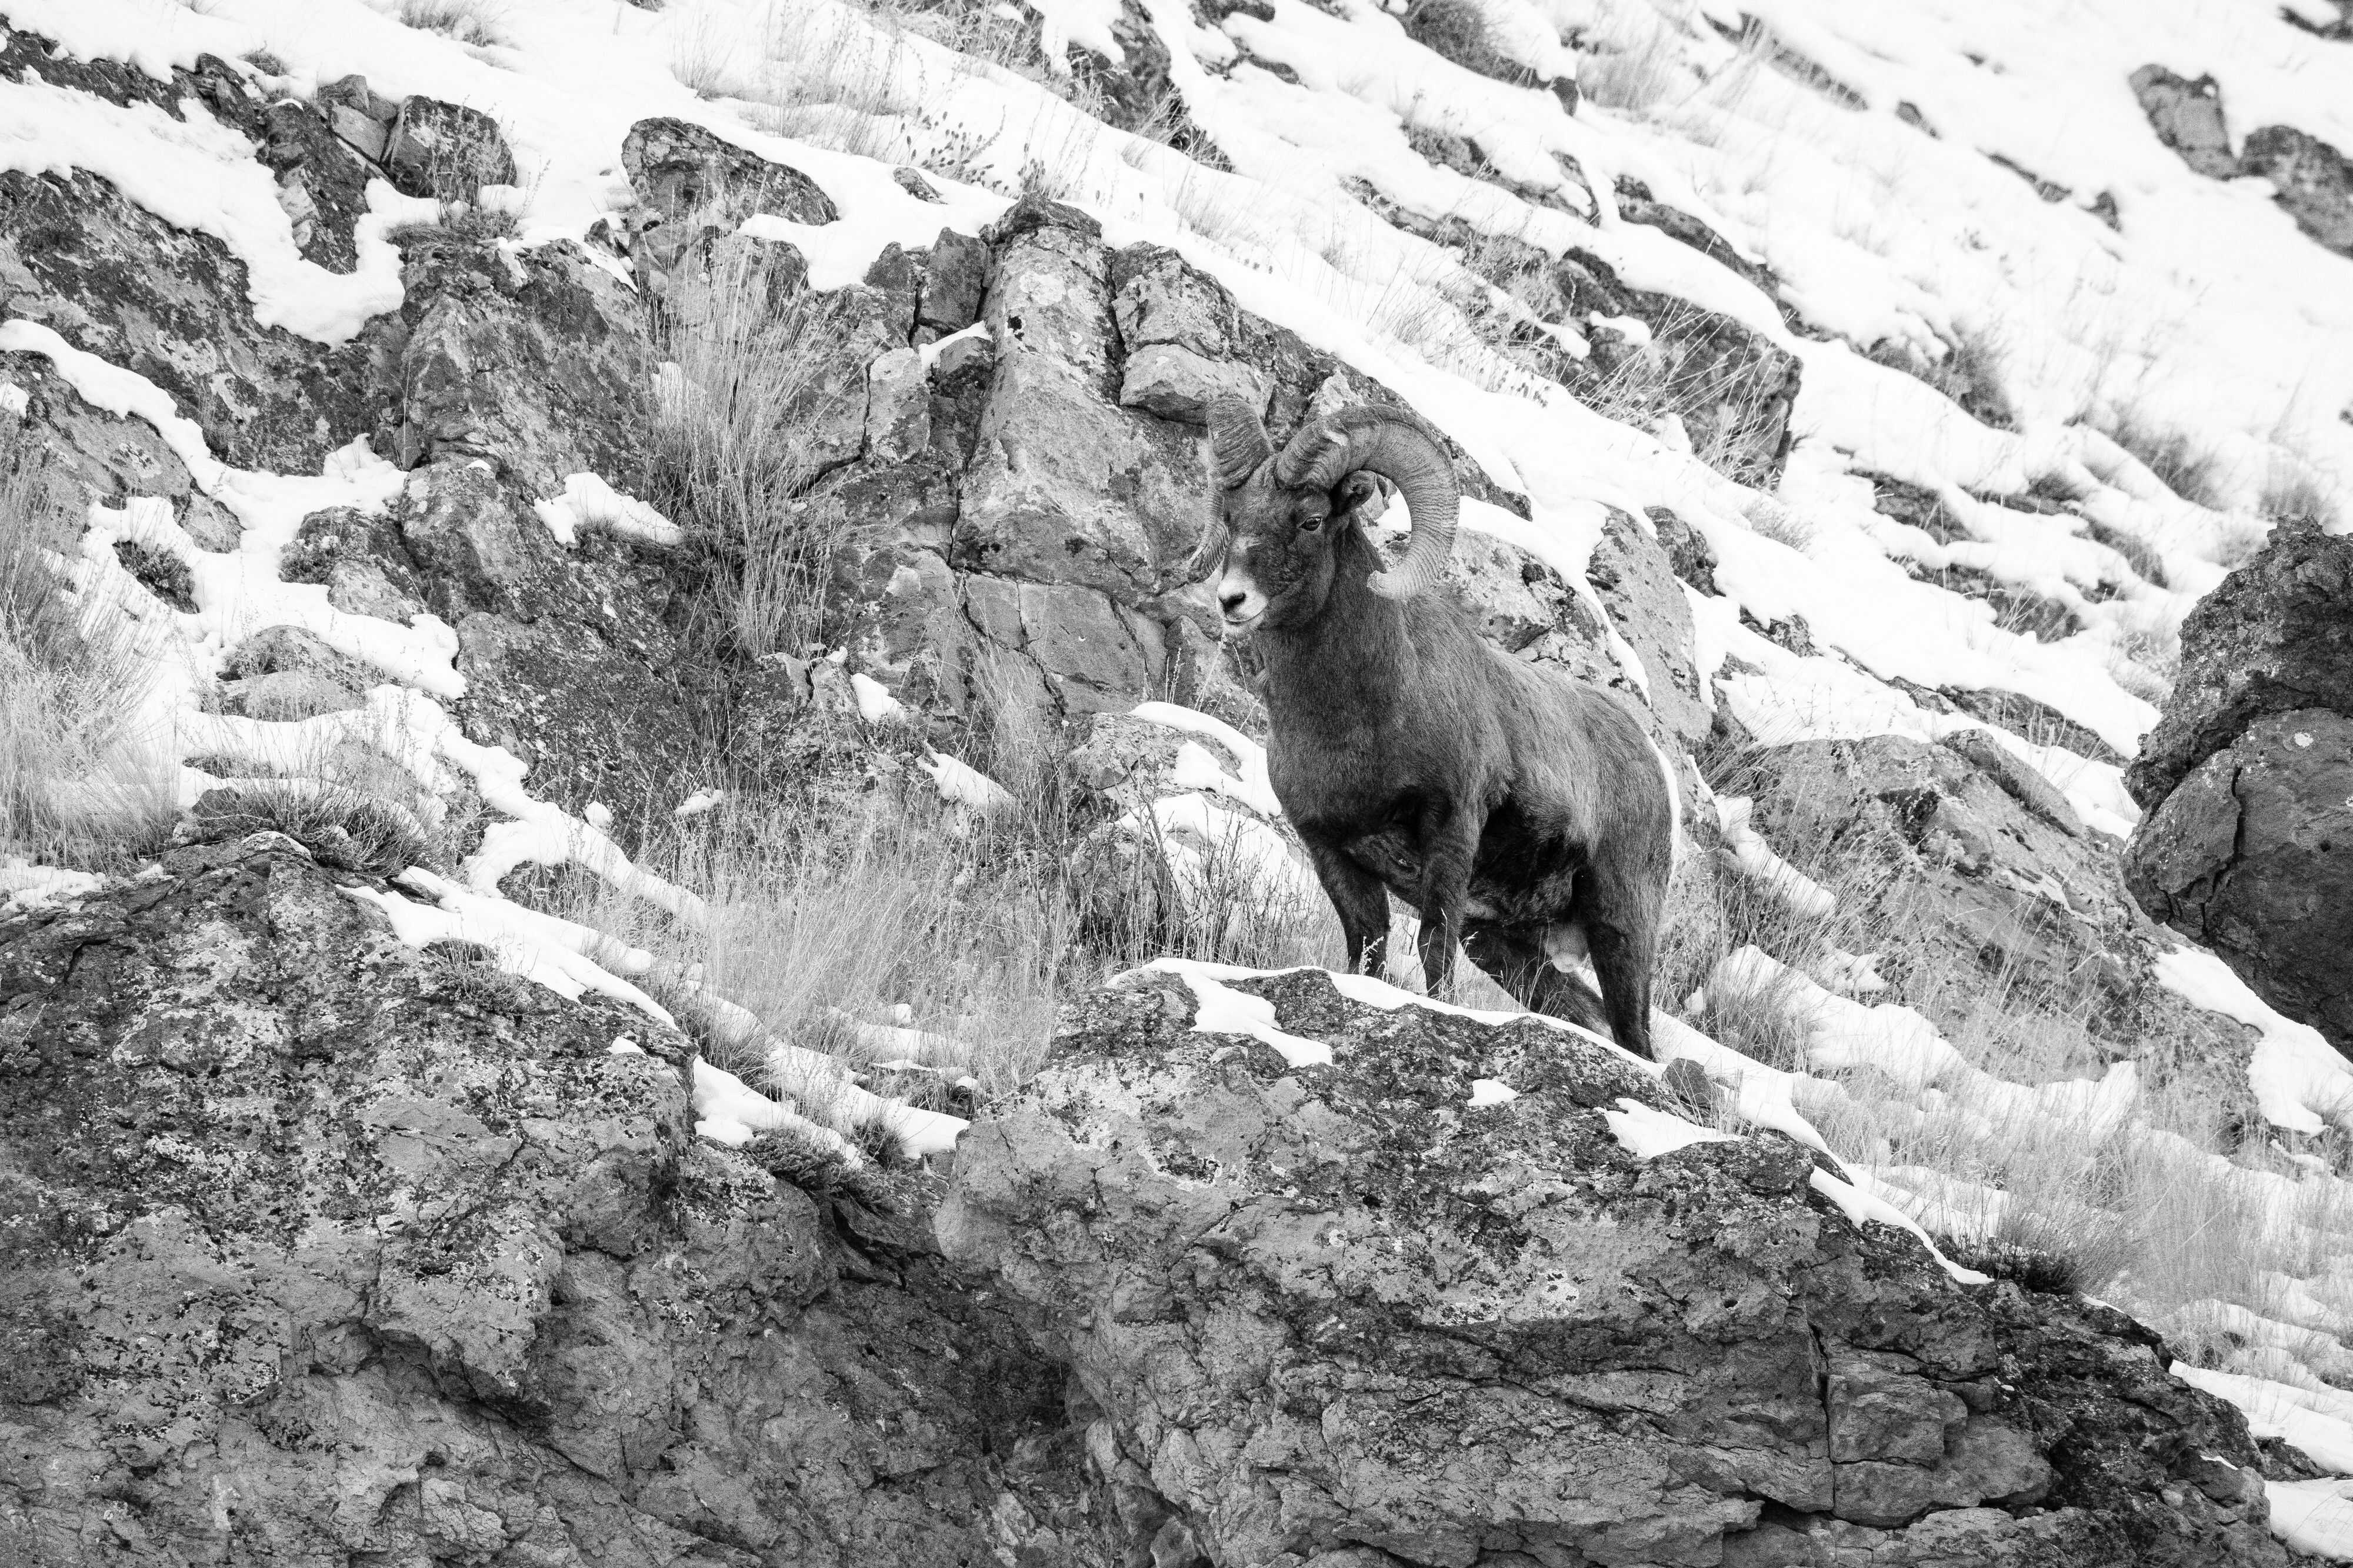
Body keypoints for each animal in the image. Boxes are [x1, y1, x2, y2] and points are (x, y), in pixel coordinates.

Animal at [1188, 394, 1678, 1059]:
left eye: (1311, 520)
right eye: (1233, 514)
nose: (1233, 600)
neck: (1359, 726)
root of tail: (1649, 761)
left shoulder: (1449, 832)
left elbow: (1430, 948)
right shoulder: (1331, 850)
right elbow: (1367, 950)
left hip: (1621, 924)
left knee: (1634, 1035)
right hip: (1504, 948)